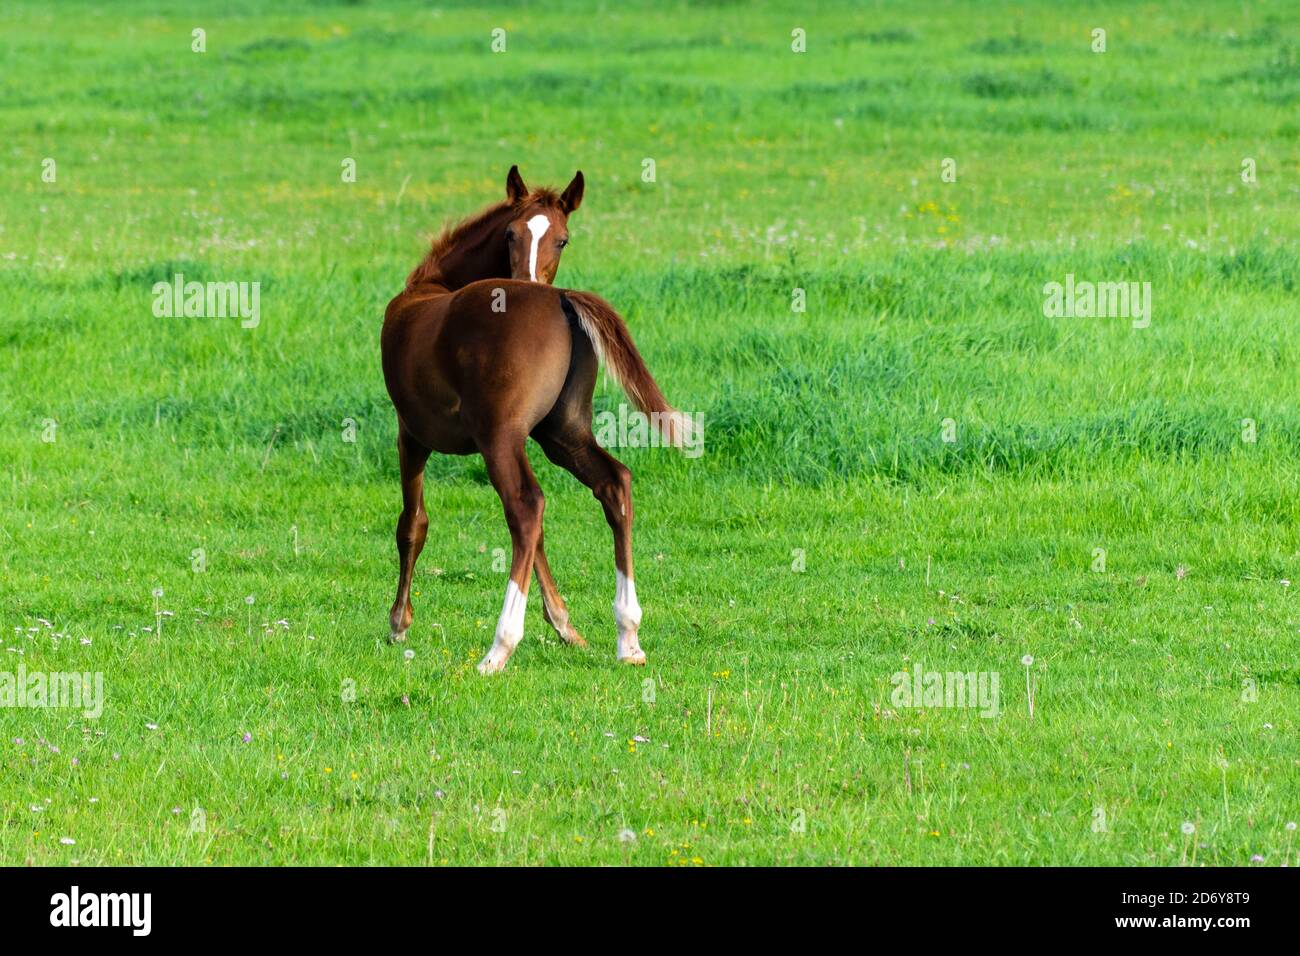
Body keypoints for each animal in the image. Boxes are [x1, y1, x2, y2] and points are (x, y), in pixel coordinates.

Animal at [381, 166, 693, 674]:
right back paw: (628, 635)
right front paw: (566, 626)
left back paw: (499, 648)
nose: (528, 278)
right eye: (511, 233)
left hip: (499, 437)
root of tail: (561, 298)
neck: (431, 287)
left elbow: (413, 523)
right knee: (614, 484)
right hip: (564, 433)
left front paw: (398, 622)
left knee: (526, 508)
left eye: (563, 240)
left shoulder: (411, 433)